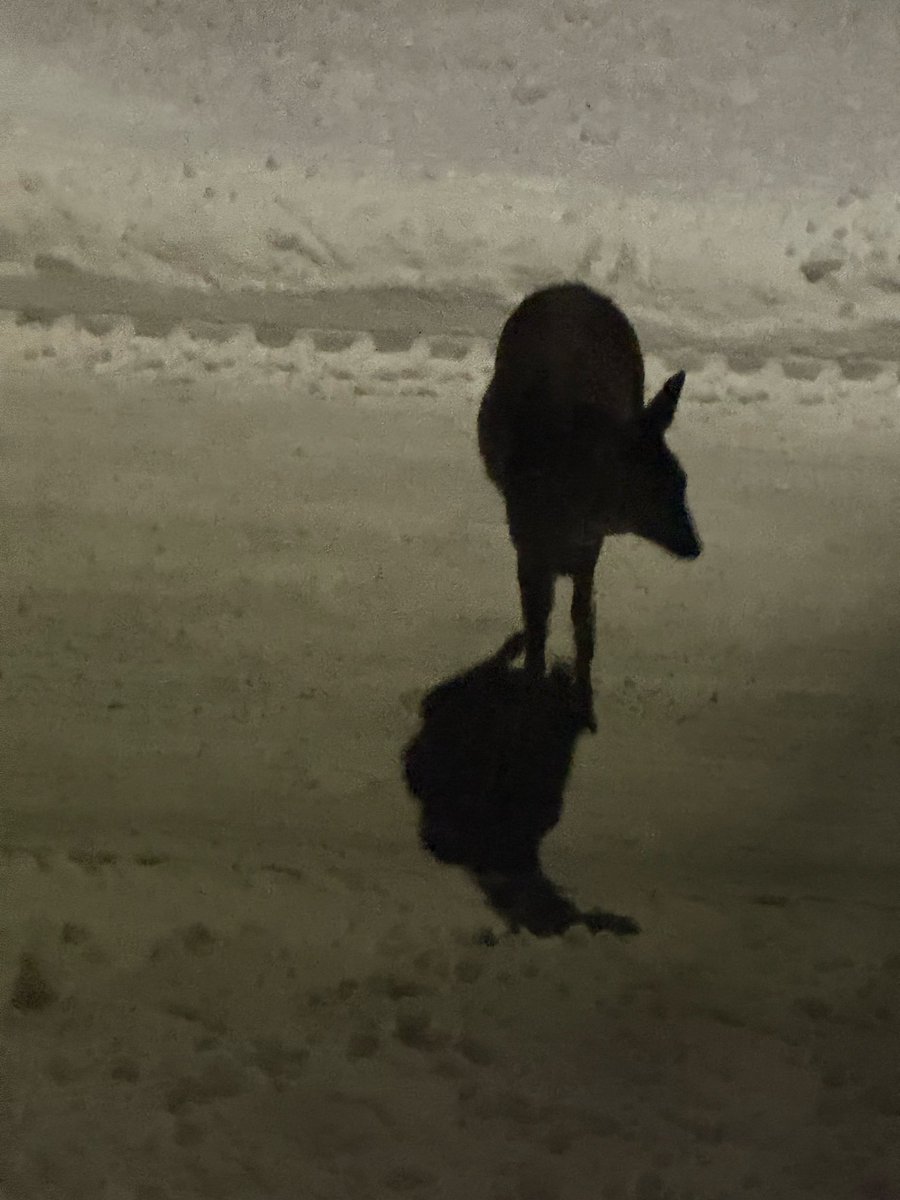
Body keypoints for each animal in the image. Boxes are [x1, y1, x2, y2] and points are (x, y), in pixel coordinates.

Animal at [477, 282, 702, 729]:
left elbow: (582, 615)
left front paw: (582, 694)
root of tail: (571, 287)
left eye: (683, 481)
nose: (694, 545)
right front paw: (533, 688)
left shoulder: (588, 544)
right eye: (651, 491)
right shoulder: (526, 541)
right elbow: (538, 618)